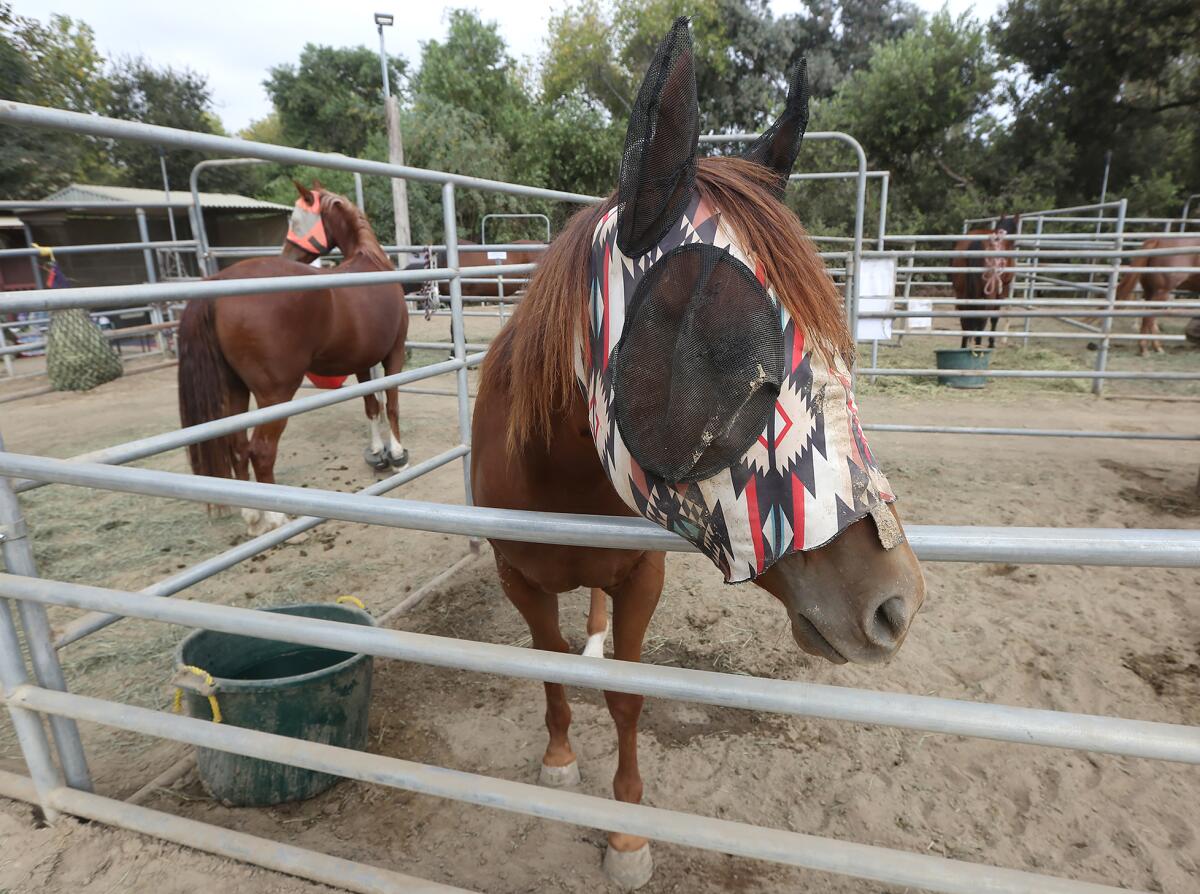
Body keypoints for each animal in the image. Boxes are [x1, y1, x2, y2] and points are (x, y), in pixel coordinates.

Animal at [177, 177, 410, 532]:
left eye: (300, 221)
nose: (288, 252)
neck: (371, 261)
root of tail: (219, 284)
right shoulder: (393, 354)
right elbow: (392, 404)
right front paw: (397, 455)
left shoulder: (362, 362)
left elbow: (372, 407)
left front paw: (378, 452)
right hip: (275, 394)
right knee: (260, 451)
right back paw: (276, 518)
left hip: (235, 389)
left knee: (237, 446)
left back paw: (253, 515)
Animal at [950, 216, 1017, 348]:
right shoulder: (1001, 291)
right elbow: (994, 317)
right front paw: (991, 342)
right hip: (988, 294)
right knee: (982, 318)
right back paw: (978, 346)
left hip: (961, 293)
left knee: (964, 318)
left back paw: (964, 346)